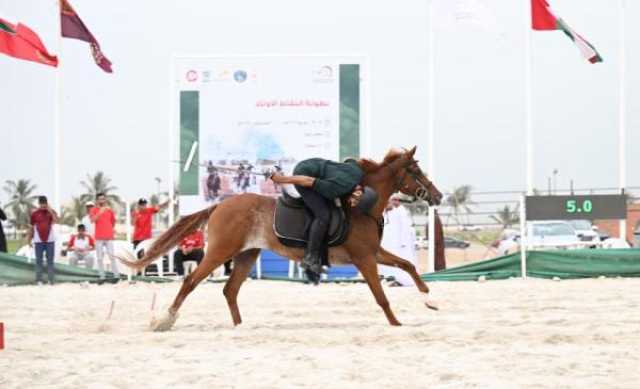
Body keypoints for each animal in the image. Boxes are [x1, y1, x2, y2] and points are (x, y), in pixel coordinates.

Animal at [119, 146, 440, 330]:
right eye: (415, 170)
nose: (437, 196)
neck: (359, 205)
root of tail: (219, 205)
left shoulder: (374, 253)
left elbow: (408, 265)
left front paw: (430, 300)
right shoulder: (364, 259)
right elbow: (381, 296)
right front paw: (396, 323)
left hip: (246, 255)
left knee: (230, 291)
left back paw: (240, 328)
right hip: (219, 252)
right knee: (190, 281)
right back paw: (165, 320)